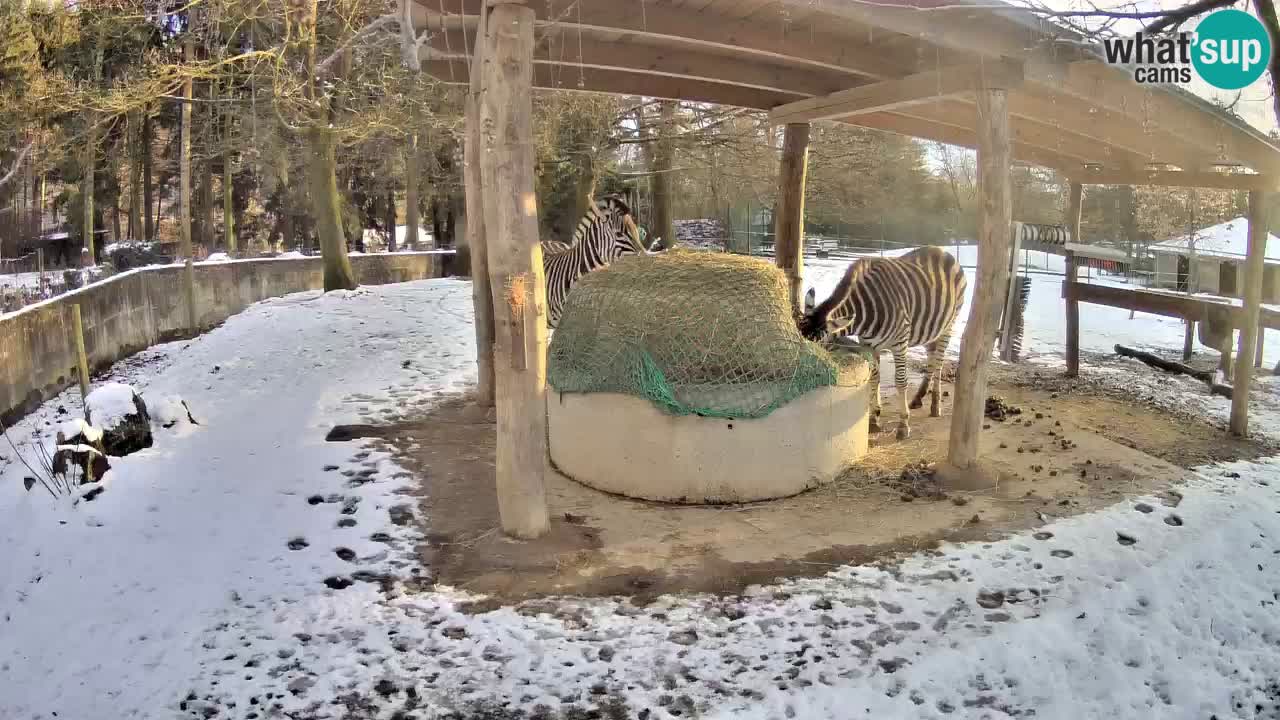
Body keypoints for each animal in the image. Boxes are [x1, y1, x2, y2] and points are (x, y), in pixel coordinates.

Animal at [798, 244, 967, 438]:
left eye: (818, 348)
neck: (865, 314)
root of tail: (942, 251)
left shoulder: (900, 343)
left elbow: (900, 381)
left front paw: (903, 425)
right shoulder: (869, 345)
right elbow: (874, 378)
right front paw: (874, 418)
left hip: (949, 325)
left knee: (938, 363)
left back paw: (935, 406)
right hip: (930, 328)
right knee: (931, 359)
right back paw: (918, 398)